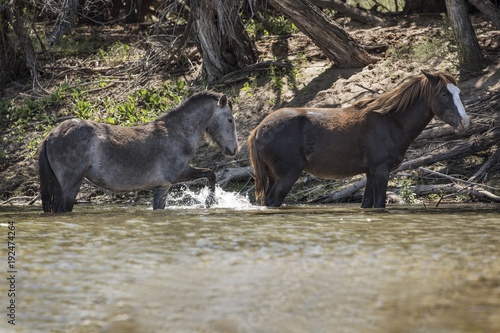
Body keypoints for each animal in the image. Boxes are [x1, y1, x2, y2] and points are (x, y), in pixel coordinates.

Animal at [39, 91, 238, 211]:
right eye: (230, 119)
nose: (234, 150)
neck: (177, 132)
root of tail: (51, 134)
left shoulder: (162, 188)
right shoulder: (179, 174)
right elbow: (211, 174)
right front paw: (209, 202)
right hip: (69, 187)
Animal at [248, 71, 470, 208]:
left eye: (458, 92)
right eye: (444, 93)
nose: (465, 122)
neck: (391, 122)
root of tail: (258, 129)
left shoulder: (370, 173)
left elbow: (367, 205)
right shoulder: (381, 171)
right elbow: (380, 204)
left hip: (274, 176)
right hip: (287, 175)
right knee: (272, 201)